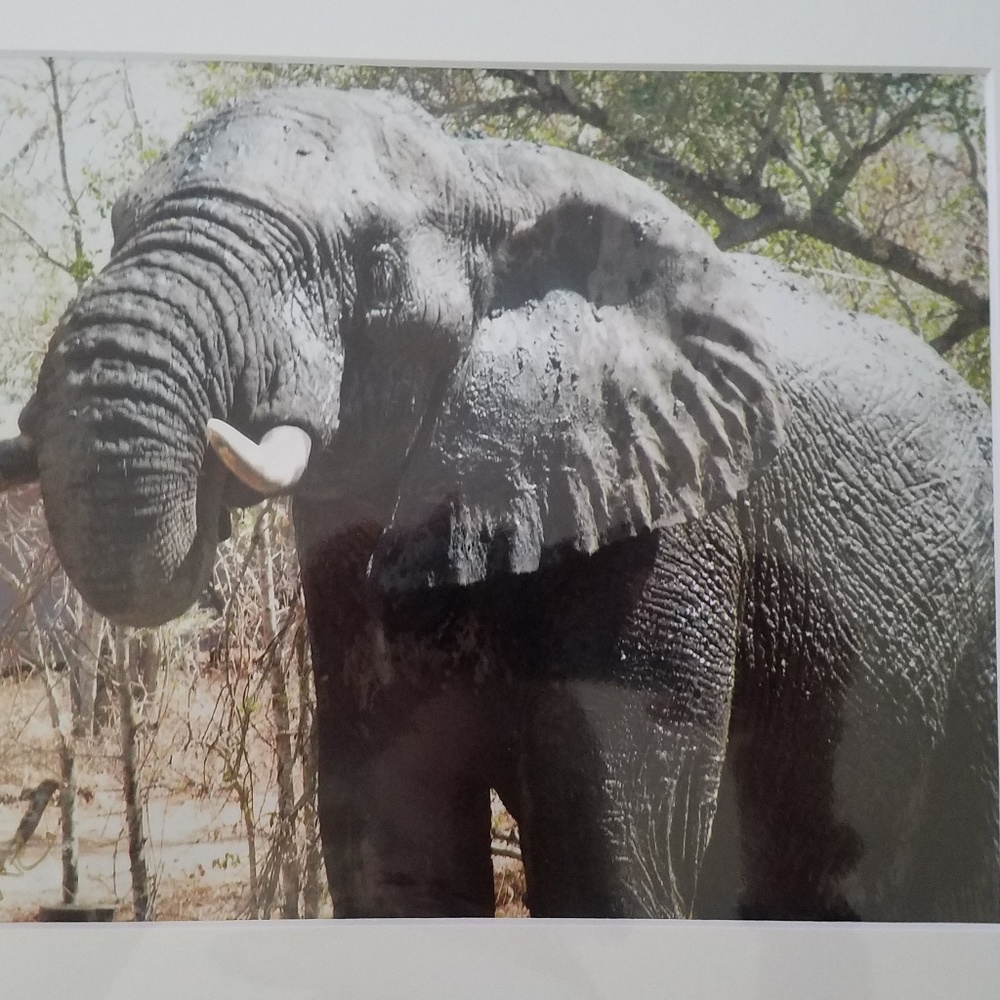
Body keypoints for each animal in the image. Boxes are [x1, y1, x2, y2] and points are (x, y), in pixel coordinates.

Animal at [0, 87, 996, 920]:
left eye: (373, 260)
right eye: (118, 222)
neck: (490, 171)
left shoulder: (670, 528)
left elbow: (615, 866)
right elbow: (396, 855)